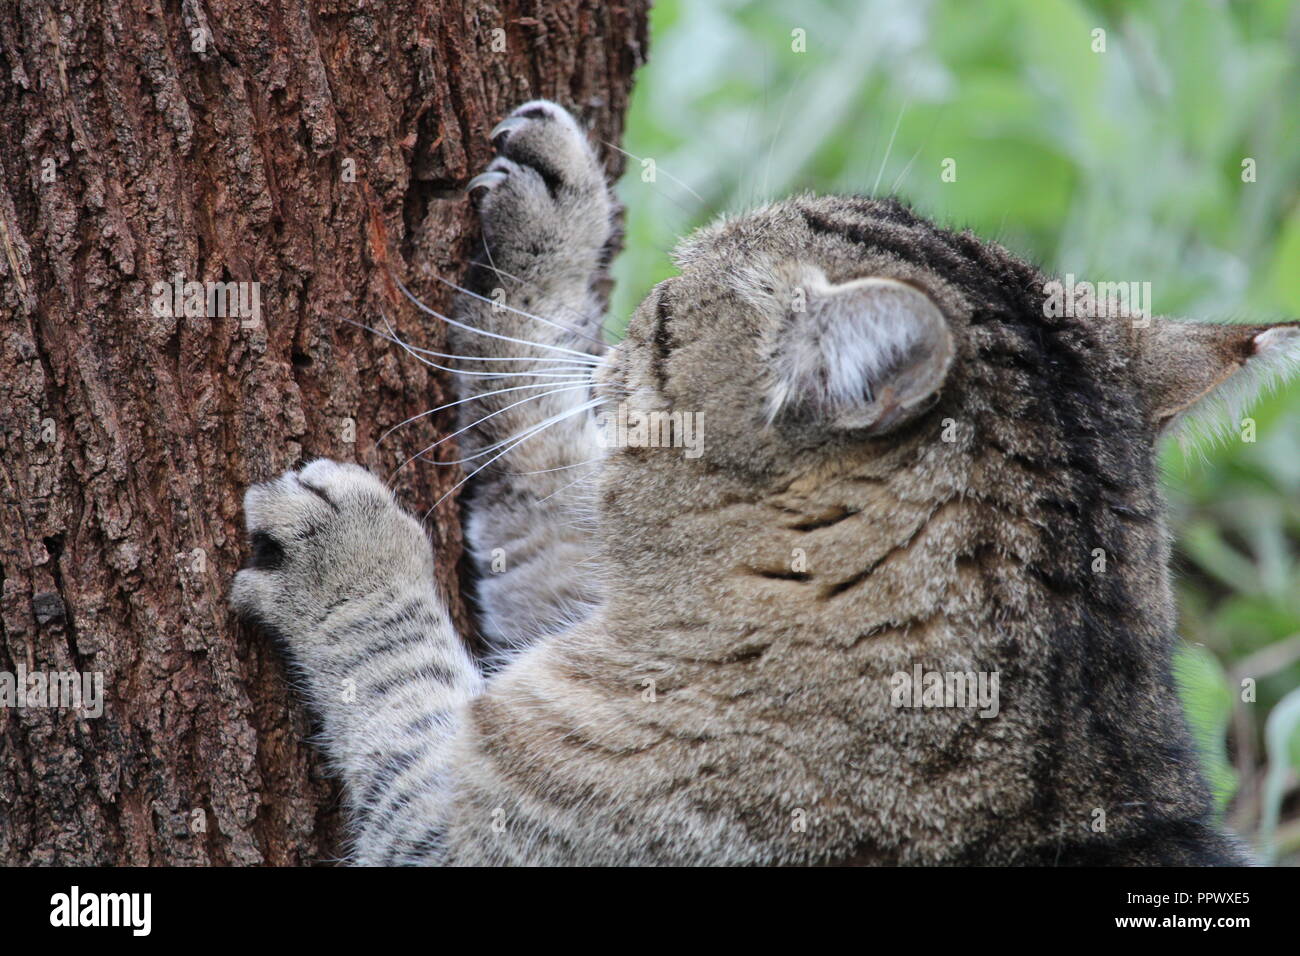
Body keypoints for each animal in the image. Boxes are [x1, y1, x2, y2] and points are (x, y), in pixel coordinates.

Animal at [228, 98, 1294, 868]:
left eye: (666, 298)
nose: (639, 297)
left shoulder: (463, 826)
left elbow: (396, 680)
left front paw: (348, 554)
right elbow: (546, 460)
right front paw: (556, 226)